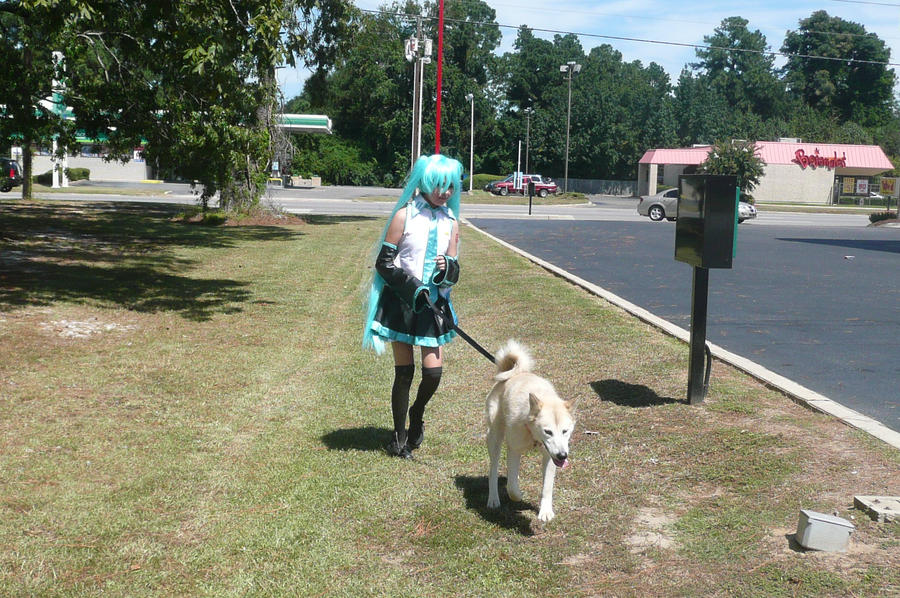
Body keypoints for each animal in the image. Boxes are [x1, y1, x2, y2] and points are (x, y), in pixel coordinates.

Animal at [486, 342, 576, 524]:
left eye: (565, 431)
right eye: (548, 432)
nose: (563, 455)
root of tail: (514, 374)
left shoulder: (550, 456)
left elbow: (547, 487)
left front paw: (546, 512)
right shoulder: (514, 450)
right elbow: (512, 487)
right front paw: (518, 495)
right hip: (495, 439)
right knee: (493, 469)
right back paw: (493, 498)